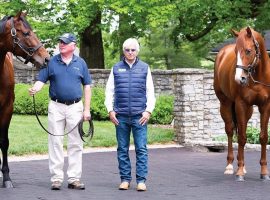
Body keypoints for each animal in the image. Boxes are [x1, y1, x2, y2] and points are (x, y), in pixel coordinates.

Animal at [214, 27, 270, 182]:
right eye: (235, 52)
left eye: (248, 50)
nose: (239, 79)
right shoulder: (240, 104)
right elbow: (242, 138)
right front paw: (239, 172)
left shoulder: (265, 106)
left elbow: (263, 137)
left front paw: (264, 172)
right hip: (225, 104)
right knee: (230, 131)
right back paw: (230, 166)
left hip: (249, 110)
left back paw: (243, 165)